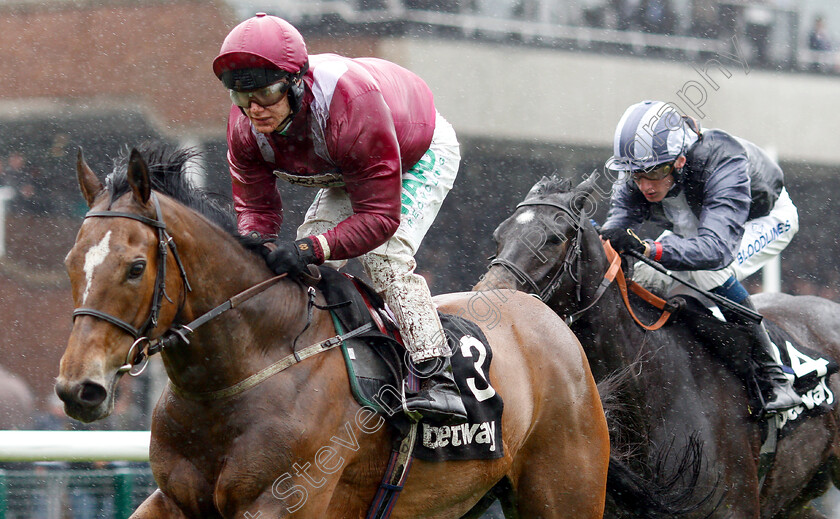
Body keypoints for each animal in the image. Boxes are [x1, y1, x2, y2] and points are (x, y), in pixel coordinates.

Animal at [57, 147, 612, 519]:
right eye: (70, 262)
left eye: (135, 268)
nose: (79, 388)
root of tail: (544, 316)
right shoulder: (172, 500)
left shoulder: (284, 500)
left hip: (567, 489)